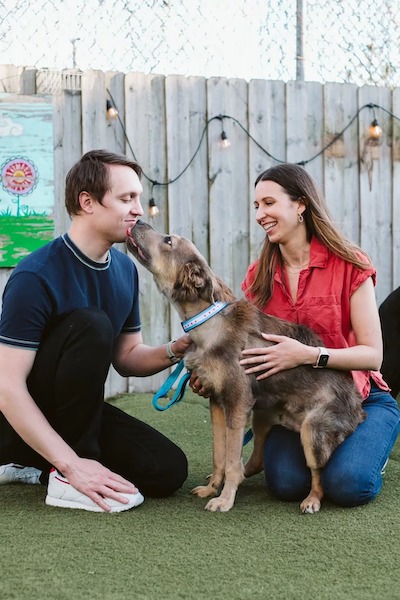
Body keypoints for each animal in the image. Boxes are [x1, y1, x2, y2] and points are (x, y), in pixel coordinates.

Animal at [127, 223, 366, 512]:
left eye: (168, 240)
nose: (137, 221)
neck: (207, 323)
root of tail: (358, 410)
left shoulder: (237, 404)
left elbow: (231, 460)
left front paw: (225, 500)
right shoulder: (218, 403)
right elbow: (220, 455)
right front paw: (212, 489)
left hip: (312, 431)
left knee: (317, 472)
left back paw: (311, 500)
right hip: (263, 414)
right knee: (257, 458)